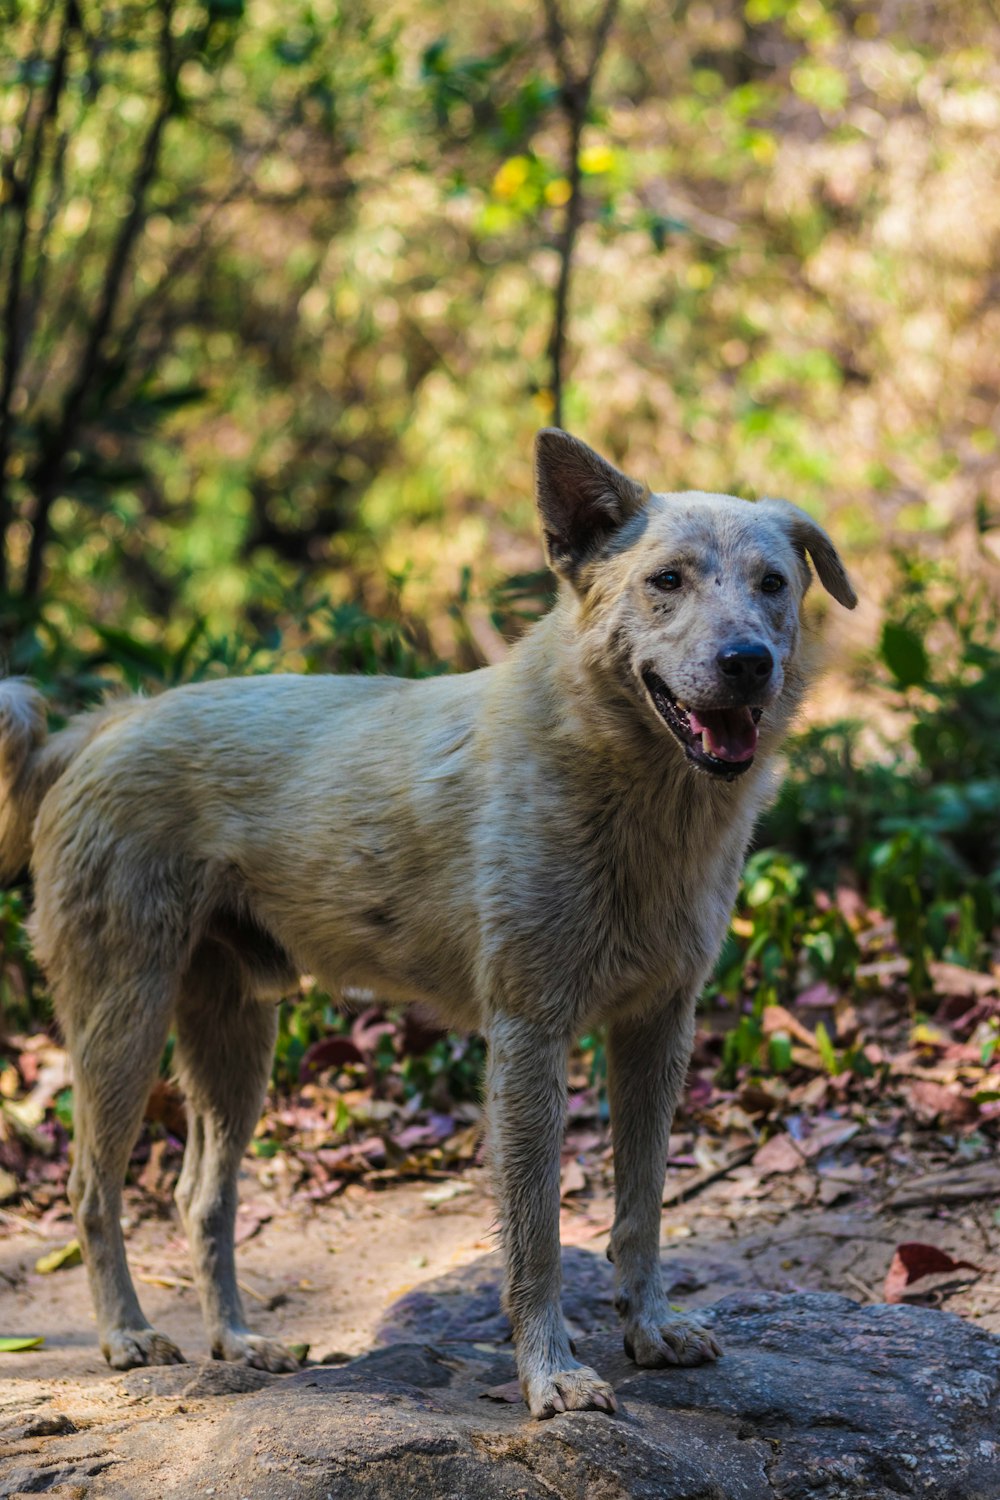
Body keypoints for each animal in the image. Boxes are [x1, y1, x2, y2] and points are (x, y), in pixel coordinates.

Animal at [0, 432, 857, 1416]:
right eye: (667, 580)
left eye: (772, 583)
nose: (749, 661)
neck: (638, 801)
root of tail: (100, 727)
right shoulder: (528, 1036)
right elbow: (537, 1235)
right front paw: (551, 1375)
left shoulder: (657, 1031)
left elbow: (641, 1210)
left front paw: (649, 1330)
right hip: (123, 1028)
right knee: (92, 1187)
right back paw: (127, 1335)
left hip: (236, 1043)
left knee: (199, 1198)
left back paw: (239, 1343)